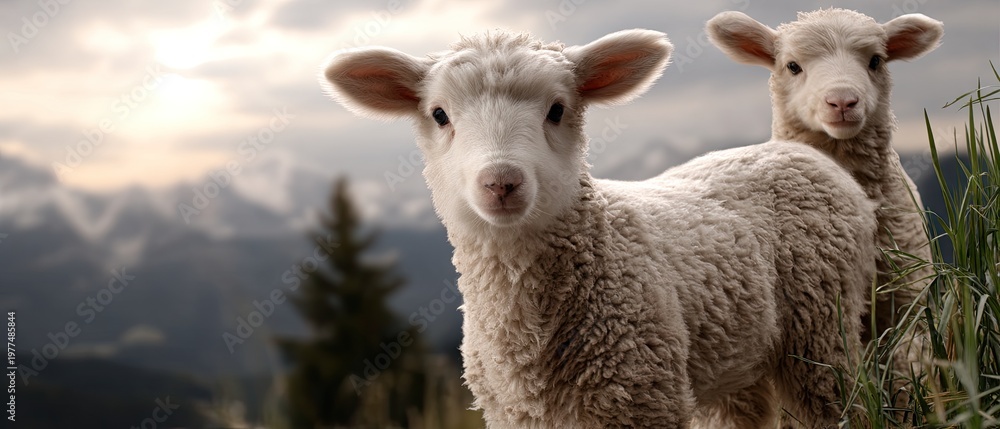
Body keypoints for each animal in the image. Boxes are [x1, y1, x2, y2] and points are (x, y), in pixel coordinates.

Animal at [320, 29, 877, 428]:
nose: (501, 182)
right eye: (439, 115)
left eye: (557, 110)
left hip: (822, 331)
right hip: (737, 359)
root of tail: (800, 154)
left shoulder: (641, 397)